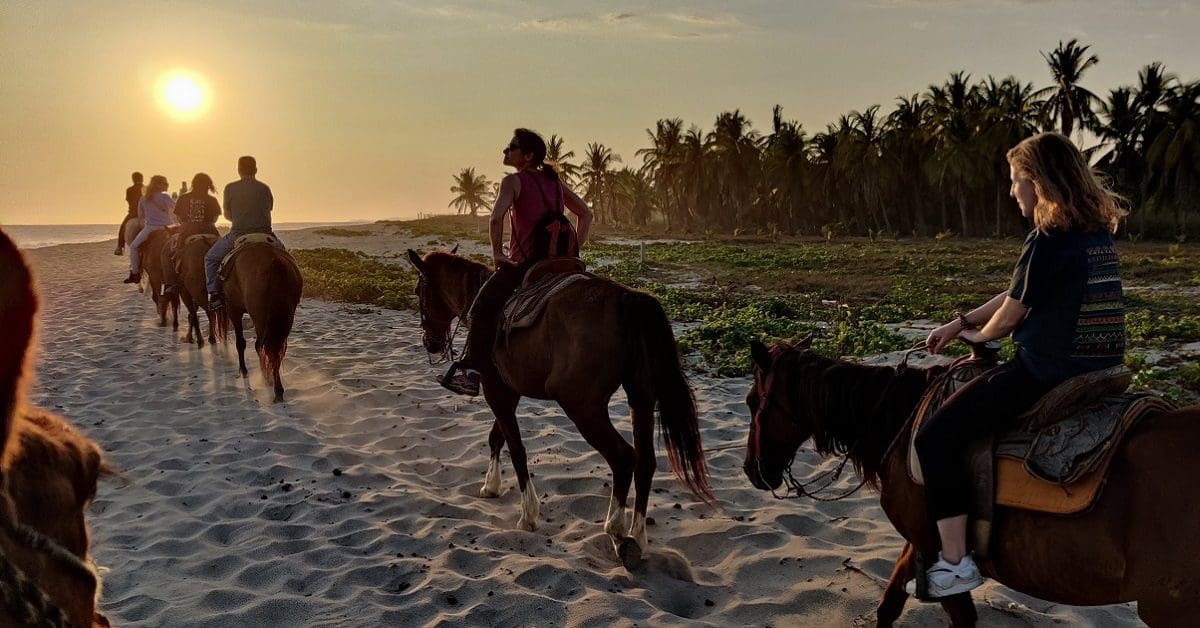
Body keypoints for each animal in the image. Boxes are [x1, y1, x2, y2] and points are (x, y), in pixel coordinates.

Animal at [214, 241, 304, 403]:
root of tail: (275, 264)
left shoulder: (233, 309)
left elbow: (240, 343)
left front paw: (243, 370)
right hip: (285, 319)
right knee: (275, 350)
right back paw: (273, 382)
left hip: (260, 318)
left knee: (266, 347)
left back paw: (274, 386)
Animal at [408, 250, 715, 569]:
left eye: (418, 291)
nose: (429, 343)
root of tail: (628, 298)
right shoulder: (509, 391)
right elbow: (497, 437)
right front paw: (491, 486)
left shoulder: (496, 389)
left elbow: (516, 448)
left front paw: (528, 514)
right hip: (640, 398)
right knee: (645, 462)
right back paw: (637, 538)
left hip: (581, 406)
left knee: (622, 458)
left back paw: (616, 529)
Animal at [739, 338, 1200, 628]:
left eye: (751, 401)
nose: (750, 470)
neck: (900, 420)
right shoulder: (922, 540)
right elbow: (889, 605)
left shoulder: (935, 544)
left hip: (1168, 610)